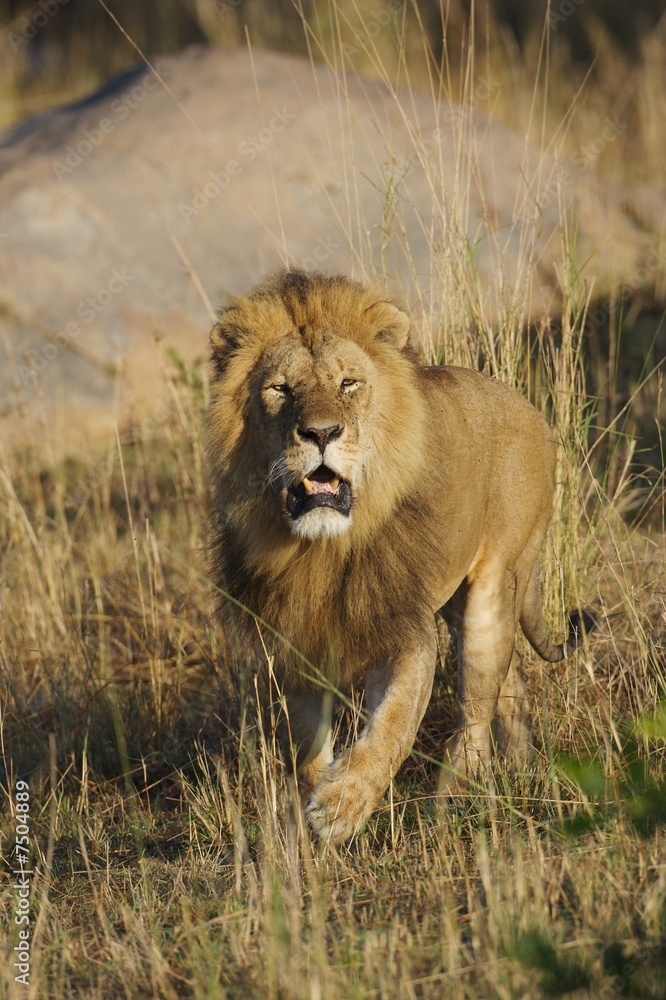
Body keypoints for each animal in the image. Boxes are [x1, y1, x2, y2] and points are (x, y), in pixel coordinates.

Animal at [205, 270, 588, 840]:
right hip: (457, 601)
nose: (321, 432)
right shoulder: (297, 640)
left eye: (348, 384)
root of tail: (527, 407)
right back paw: (521, 767)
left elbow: (393, 724)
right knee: (512, 683)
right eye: (280, 389)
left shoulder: (403, 627)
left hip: (495, 586)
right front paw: (310, 815)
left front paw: (341, 806)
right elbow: (306, 745)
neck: (320, 550)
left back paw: (449, 805)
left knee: (476, 708)